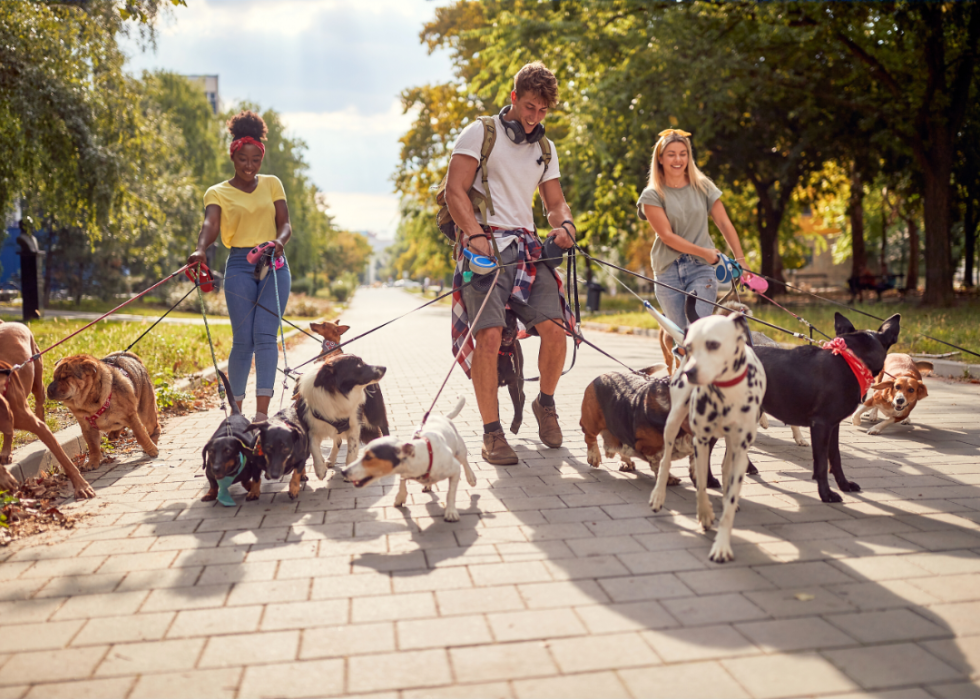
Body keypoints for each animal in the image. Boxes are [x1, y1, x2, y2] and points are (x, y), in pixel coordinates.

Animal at [0, 322, 93, 498]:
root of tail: (9, 323)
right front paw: (5, 478)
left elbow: (64, 460)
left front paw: (81, 485)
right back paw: (6, 452)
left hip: (37, 380)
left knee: (39, 406)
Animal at [338, 396, 476, 524]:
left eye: (369, 457)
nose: (343, 472)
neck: (425, 455)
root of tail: (443, 417)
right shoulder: (405, 472)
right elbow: (402, 483)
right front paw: (400, 498)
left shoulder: (454, 469)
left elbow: (450, 493)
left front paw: (451, 512)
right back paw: (427, 485)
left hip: (460, 450)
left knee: (465, 462)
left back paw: (471, 478)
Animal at [652, 312, 764, 564]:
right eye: (689, 347)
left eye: (713, 344)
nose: (690, 372)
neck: (726, 394)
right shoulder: (700, 441)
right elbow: (701, 483)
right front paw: (704, 514)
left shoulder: (740, 449)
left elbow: (729, 498)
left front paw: (722, 544)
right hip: (673, 421)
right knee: (665, 460)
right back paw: (658, 495)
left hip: (731, 445)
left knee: (725, 466)